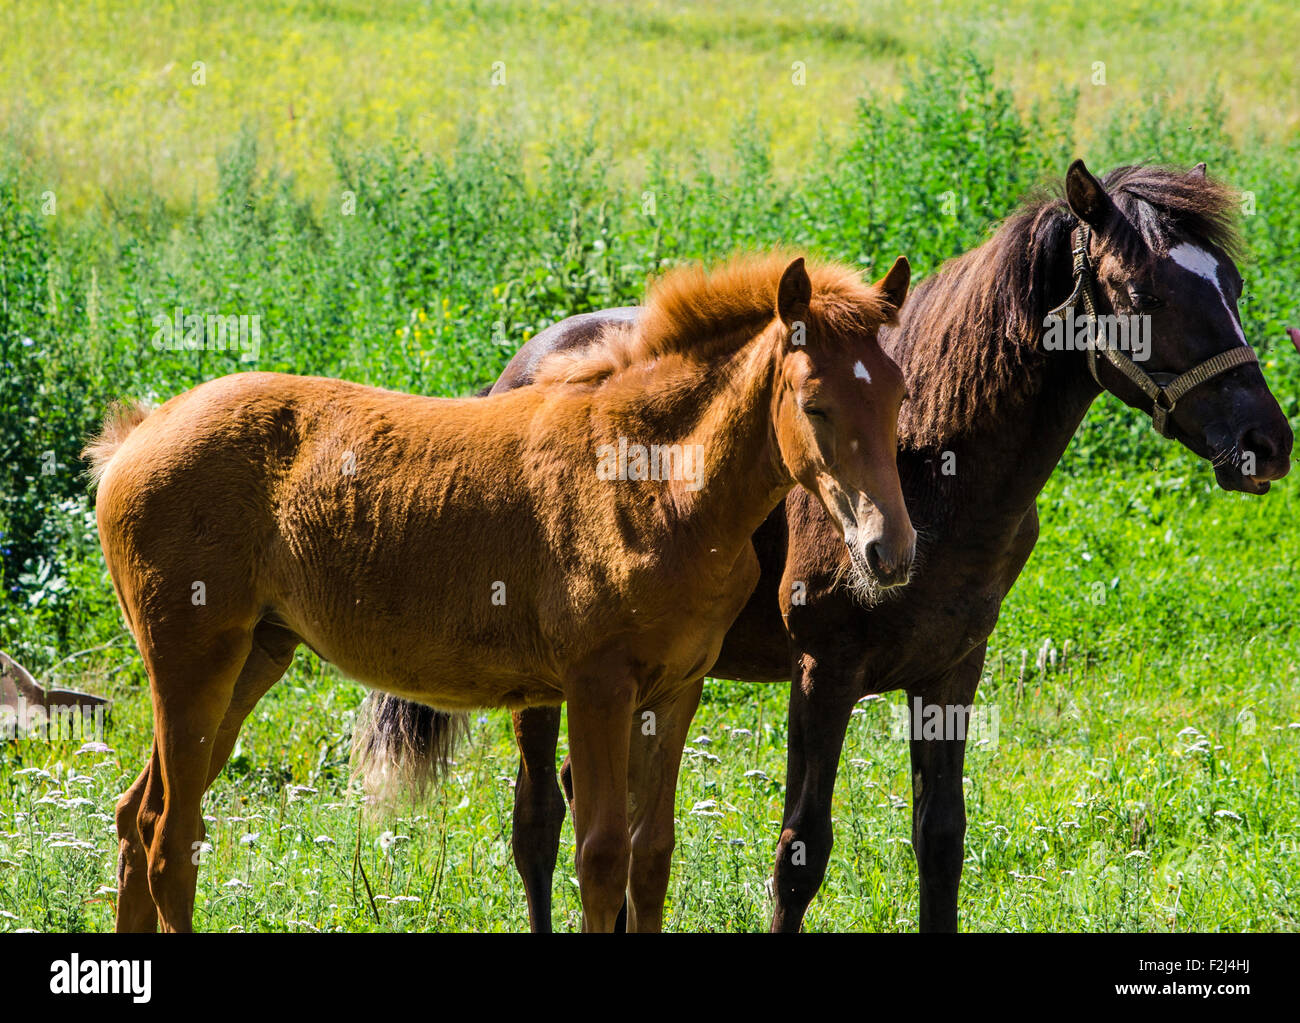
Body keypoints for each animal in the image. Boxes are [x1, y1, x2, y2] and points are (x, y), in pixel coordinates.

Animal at [86, 251, 916, 933]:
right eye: (814, 404)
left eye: (900, 395)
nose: (891, 550)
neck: (653, 484)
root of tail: (137, 434)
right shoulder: (597, 687)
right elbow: (601, 857)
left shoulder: (677, 689)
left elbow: (651, 857)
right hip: (191, 662)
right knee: (169, 839)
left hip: (254, 657)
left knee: (139, 815)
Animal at [371, 159, 1293, 932]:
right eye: (1140, 293)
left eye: (1234, 285)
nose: (1267, 442)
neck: (933, 465)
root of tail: (517, 369)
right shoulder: (824, 671)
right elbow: (799, 855)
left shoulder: (952, 670)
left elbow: (941, 841)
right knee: (537, 822)